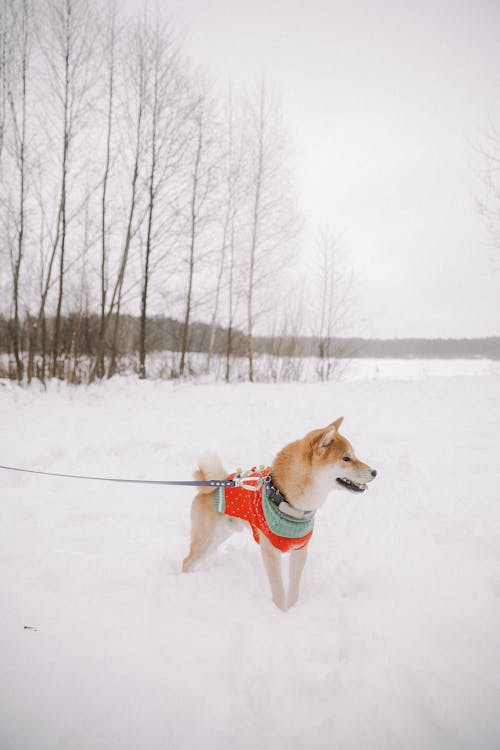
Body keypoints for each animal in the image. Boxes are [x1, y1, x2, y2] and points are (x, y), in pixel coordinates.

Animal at [183, 418, 376, 612]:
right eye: (346, 458)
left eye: (353, 456)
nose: (375, 472)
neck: (287, 500)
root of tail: (214, 484)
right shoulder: (270, 552)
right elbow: (278, 590)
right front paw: (281, 612)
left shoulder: (299, 550)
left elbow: (294, 589)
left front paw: (292, 609)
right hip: (206, 540)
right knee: (186, 561)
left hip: (217, 539)